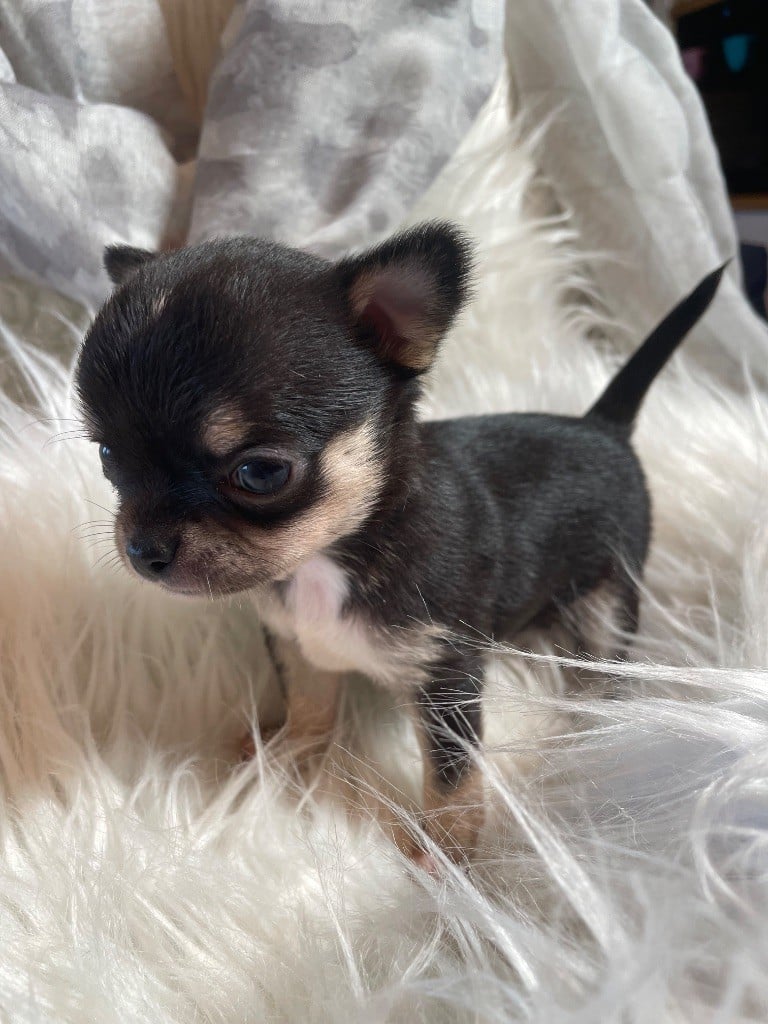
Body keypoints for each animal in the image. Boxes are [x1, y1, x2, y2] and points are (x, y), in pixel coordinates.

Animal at [74, 223, 724, 865]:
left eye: (260, 473)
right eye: (107, 457)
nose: (144, 551)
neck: (335, 550)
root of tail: (603, 426)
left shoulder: (445, 676)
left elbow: (452, 770)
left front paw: (447, 850)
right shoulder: (297, 643)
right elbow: (311, 704)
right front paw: (287, 756)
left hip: (608, 602)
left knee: (605, 667)